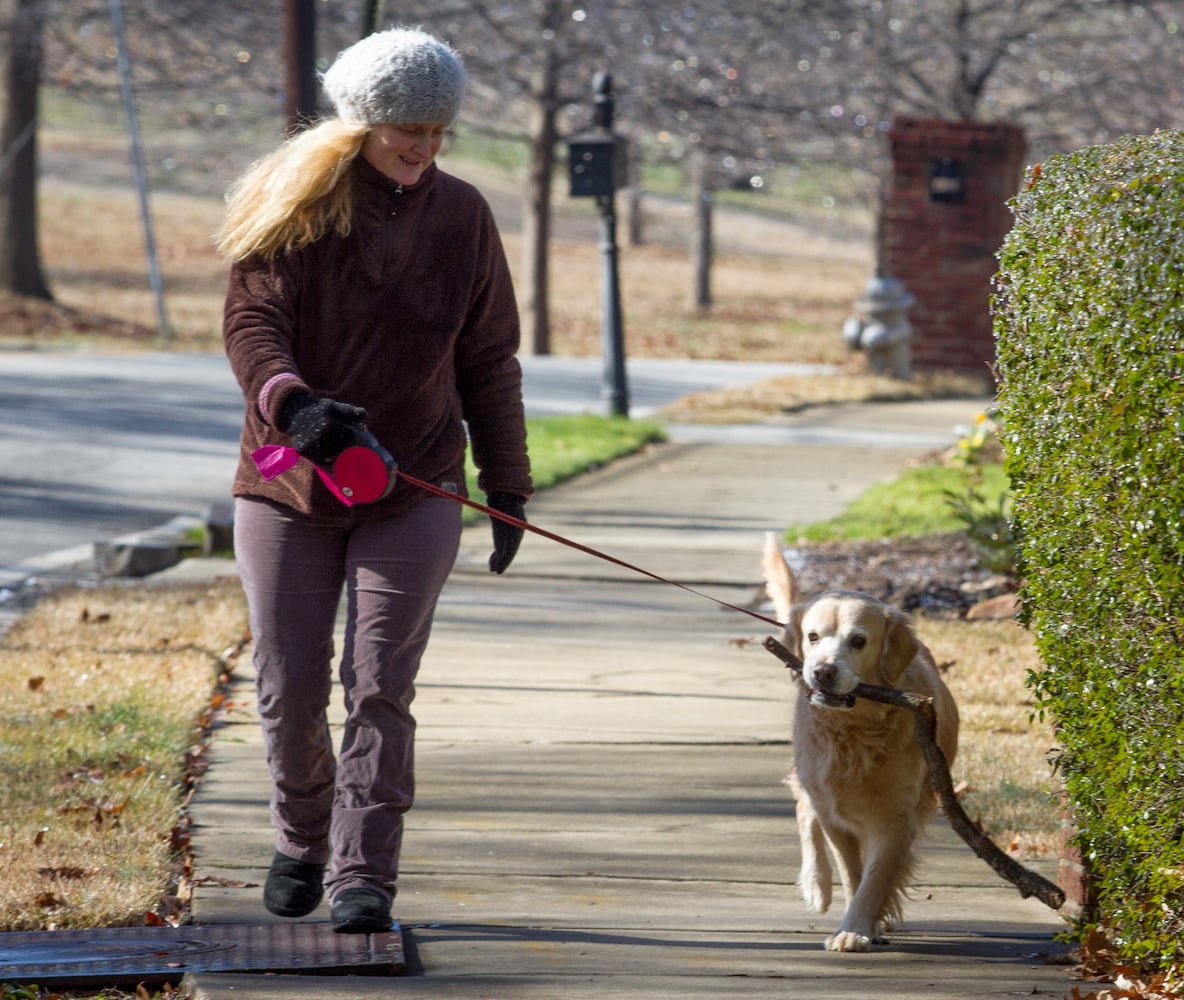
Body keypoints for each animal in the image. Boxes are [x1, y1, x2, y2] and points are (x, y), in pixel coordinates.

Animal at [762, 537, 956, 951]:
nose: (822, 671)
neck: (853, 732)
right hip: (813, 779)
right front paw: (855, 923)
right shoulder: (835, 813)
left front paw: (857, 928)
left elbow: (876, 876)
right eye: (813, 637)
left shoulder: (897, 818)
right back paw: (817, 885)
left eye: (858, 641)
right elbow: (853, 874)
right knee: (804, 809)